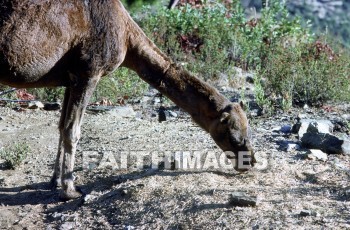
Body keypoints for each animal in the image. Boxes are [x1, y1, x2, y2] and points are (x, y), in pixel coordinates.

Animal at [0, 0, 254, 199]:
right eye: (233, 135)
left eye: (247, 129)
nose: (249, 161)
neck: (127, 38)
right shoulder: (88, 72)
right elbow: (73, 130)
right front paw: (70, 190)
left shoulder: (69, 79)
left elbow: (61, 126)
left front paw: (53, 181)